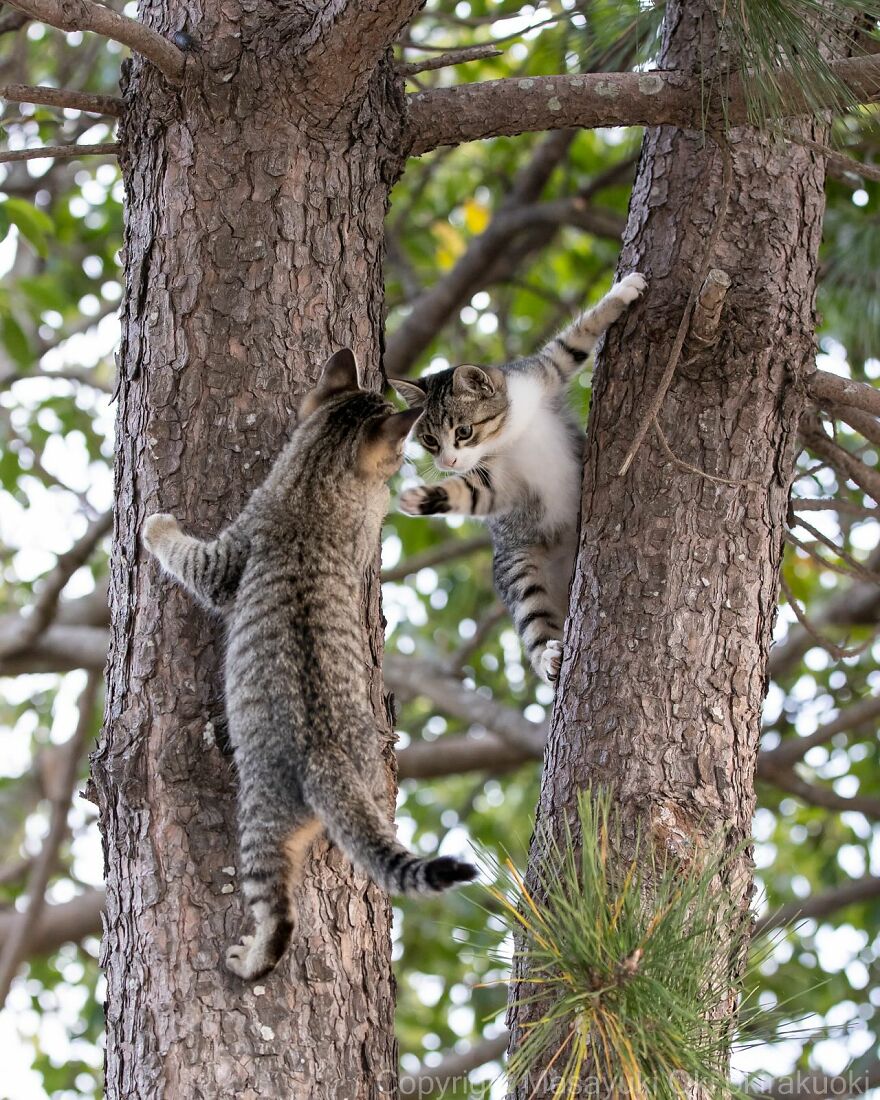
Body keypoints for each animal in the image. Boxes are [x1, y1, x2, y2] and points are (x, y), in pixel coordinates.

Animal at [141, 349, 477, 981]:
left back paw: (251, 958)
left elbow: (188, 556)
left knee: (277, 913)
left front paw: (156, 526)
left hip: (260, 822)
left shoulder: (227, 559)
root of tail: (329, 759)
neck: (317, 478)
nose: (406, 462)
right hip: (372, 783)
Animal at [391, 271, 646, 682]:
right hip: (519, 566)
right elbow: (471, 493)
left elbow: (576, 337)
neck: (511, 432)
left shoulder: (543, 372)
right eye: (429, 439)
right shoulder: (498, 480)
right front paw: (425, 497)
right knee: (533, 616)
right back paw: (549, 657)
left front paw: (623, 292)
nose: (447, 462)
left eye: (463, 431)